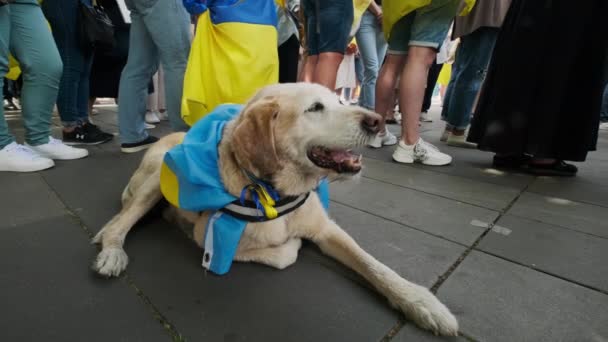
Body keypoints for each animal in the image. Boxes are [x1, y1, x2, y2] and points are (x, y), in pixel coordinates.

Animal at [92, 83, 458, 336]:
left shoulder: (327, 229)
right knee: (119, 222)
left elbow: (374, 265)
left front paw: (421, 302)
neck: (277, 193)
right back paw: (112, 251)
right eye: (315, 108)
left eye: (340, 100)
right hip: (156, 179)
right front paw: (292, 243)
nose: (378, 121)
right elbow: (285, 253)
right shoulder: (207, 238)